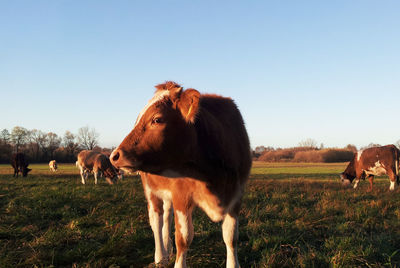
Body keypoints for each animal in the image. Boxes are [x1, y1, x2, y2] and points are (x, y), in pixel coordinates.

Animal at [111, 81, 252, 268]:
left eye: (157, 119)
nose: (114, 156)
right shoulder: (181, 196)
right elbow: (183, 238)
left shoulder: (236, 196)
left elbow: (231, 237)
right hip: (150, 189)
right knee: (156, 220)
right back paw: (160, 256)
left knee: (166, 217)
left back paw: (167, 248)